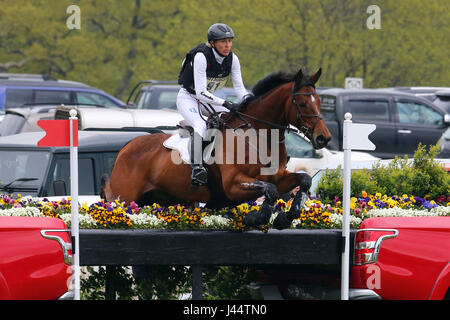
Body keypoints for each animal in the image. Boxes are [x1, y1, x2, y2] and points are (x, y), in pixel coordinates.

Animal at [103, 67, 332, 229]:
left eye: (320, 102)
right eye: (302, 103)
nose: (324, 138)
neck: (257, 135)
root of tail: (126, 147)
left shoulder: (277, 176)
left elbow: (303, 180)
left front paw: (285, 218)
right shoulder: (233, 185)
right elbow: (270, 190)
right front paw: (256, 217)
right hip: (125, 198)